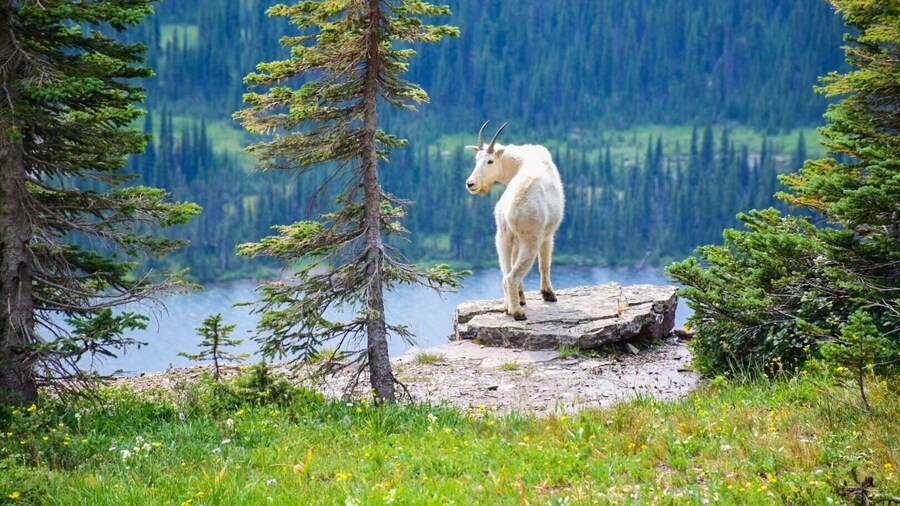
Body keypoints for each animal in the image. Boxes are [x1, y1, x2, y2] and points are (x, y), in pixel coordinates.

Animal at [465, 122, 565, 320]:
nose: (470, 184)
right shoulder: (547, 234)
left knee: (505, 273)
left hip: (502, 236)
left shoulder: (514, 238)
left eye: (489, 161)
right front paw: (548, 294)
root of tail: (509, 210)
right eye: (476, 160)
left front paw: (522, 297)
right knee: (513, 275)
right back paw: (517, 312)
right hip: (530, 238)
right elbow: (545, 263)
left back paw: (508, 307)